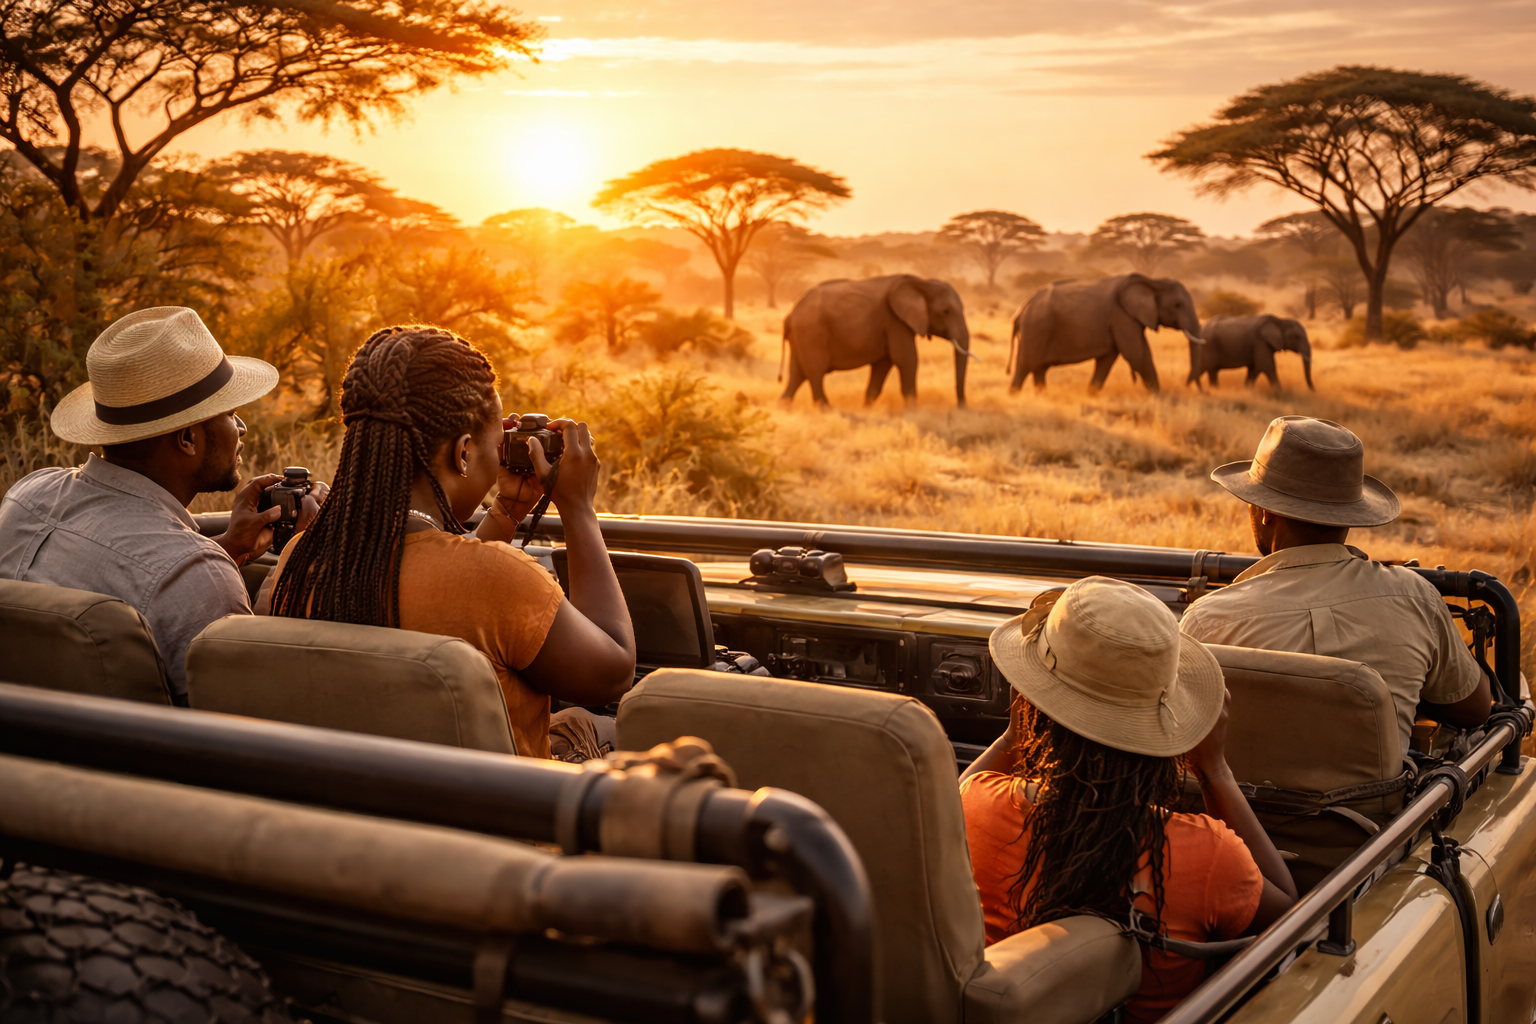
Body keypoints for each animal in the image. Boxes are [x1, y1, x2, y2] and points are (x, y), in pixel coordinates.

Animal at [780, 275, 975, 409]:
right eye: (946, 311)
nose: (961, 407)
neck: (922, 283)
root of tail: (790, 313)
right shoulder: (895, 321)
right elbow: (907, 359)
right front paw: (913, 411)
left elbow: (884, 364)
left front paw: (867, 408)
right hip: (811, 333)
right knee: (814, 371)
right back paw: (827, 409)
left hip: (801, 336)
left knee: (798, 373)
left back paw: (783, 407)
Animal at [1007, 274, 1202, 393]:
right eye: (1178, 305)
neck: (1153, 281)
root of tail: (1020, 310)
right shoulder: (1122, 316)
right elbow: (1137, 354)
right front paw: (1159, 399)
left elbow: (1107, 360)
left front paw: (1090, 395)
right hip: (1035, 330)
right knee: (1023, 368)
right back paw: (1015, 397)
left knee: (1039, 370)